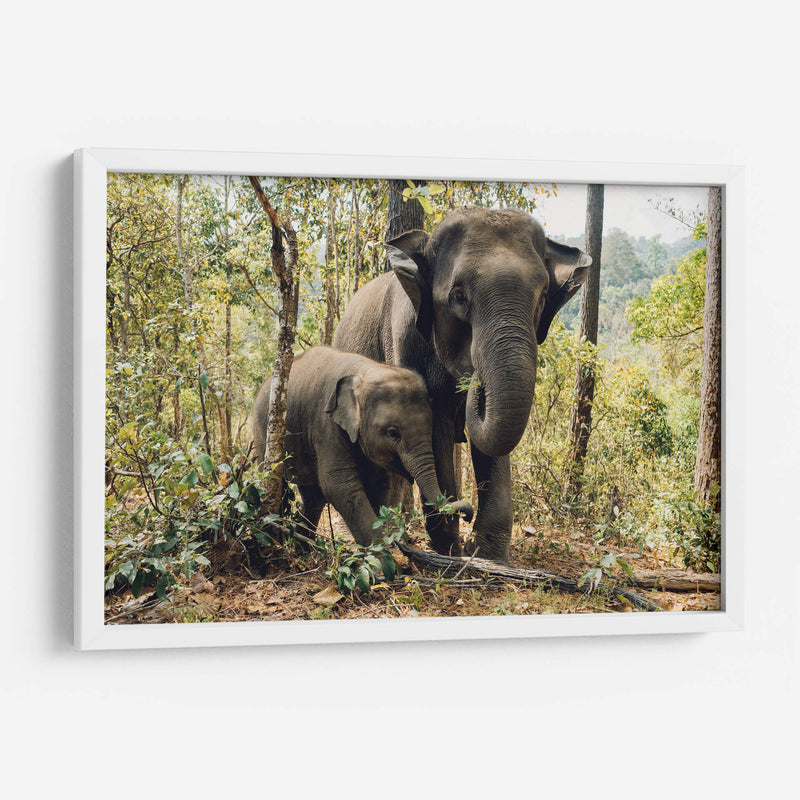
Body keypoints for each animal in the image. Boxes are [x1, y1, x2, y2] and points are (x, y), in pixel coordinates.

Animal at [251, 345, 473, 547]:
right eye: (393, 433)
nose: (468, 515)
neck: (365, 371)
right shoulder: (326, 425)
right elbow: (339, 485)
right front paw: (383, 556)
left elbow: (381, 484)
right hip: (264, 432)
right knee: (275, 483)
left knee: (313, 497)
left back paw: (303, 547)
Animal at [333, 206, 591, 562]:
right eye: (458, 295)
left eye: (541, 299)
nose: (475, 379)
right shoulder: (405, 341)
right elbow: (436, 427)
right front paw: (451, 547)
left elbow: (491, 442)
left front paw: (487, 554)